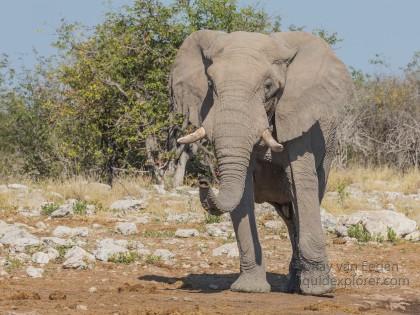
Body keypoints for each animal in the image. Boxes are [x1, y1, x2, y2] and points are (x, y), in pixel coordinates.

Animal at [169, 29, 352, 296]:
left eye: (268, 86)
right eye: (211, 84)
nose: (203, 181)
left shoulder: (300, 120)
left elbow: (302, 184)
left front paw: (319, 290)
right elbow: (243, 192)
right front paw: (249, 289)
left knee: (301, 205)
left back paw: (298, 286)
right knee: (289, 216)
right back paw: (292, 284)